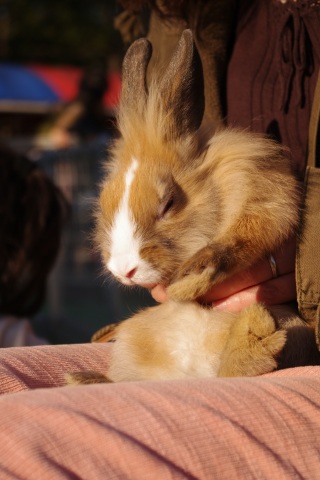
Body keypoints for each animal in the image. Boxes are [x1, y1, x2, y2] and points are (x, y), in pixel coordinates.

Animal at [64, 30, 308, 386]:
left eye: (169, 203)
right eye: (106, 201)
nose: (124, 270)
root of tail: (188, 370)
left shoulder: (265, 195)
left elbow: (244, 238)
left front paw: (192, 277)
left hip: (290, 326)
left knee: (237, 367)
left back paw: (254, 334)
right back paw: (85, 375)